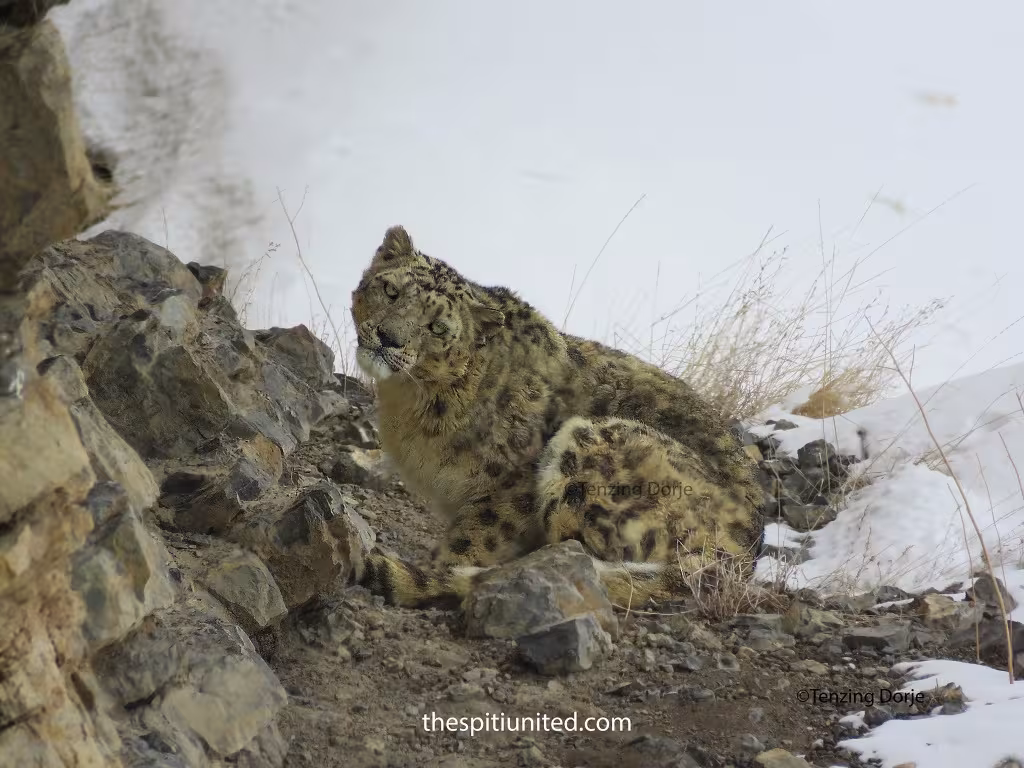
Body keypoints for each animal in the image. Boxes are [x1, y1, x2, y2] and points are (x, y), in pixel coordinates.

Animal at [350, 225, 765, 609]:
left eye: (437, 327)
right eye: (391, 291)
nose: (388, 337)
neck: (408, 403)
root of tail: (743, 558)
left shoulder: (509, 486)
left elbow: (474, 538)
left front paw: (438, 566)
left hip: (591, 453)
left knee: (576, 548)